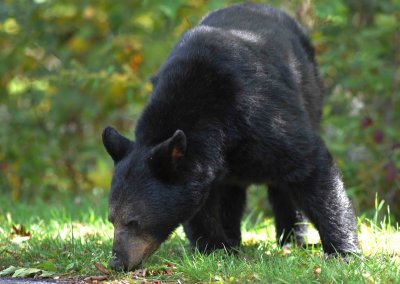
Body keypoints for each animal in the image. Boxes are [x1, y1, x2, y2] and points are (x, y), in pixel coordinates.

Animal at [102, 3, 360, 272]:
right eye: (111, 219)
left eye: (134, 221)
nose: (116, 261)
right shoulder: (201, 164)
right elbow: (200, 203)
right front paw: (214, 247)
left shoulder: (263, 117)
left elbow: (310, 165)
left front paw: (344, 251)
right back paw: (235, 239)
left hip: (312, 94)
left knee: (283, 185)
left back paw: (291, 238)